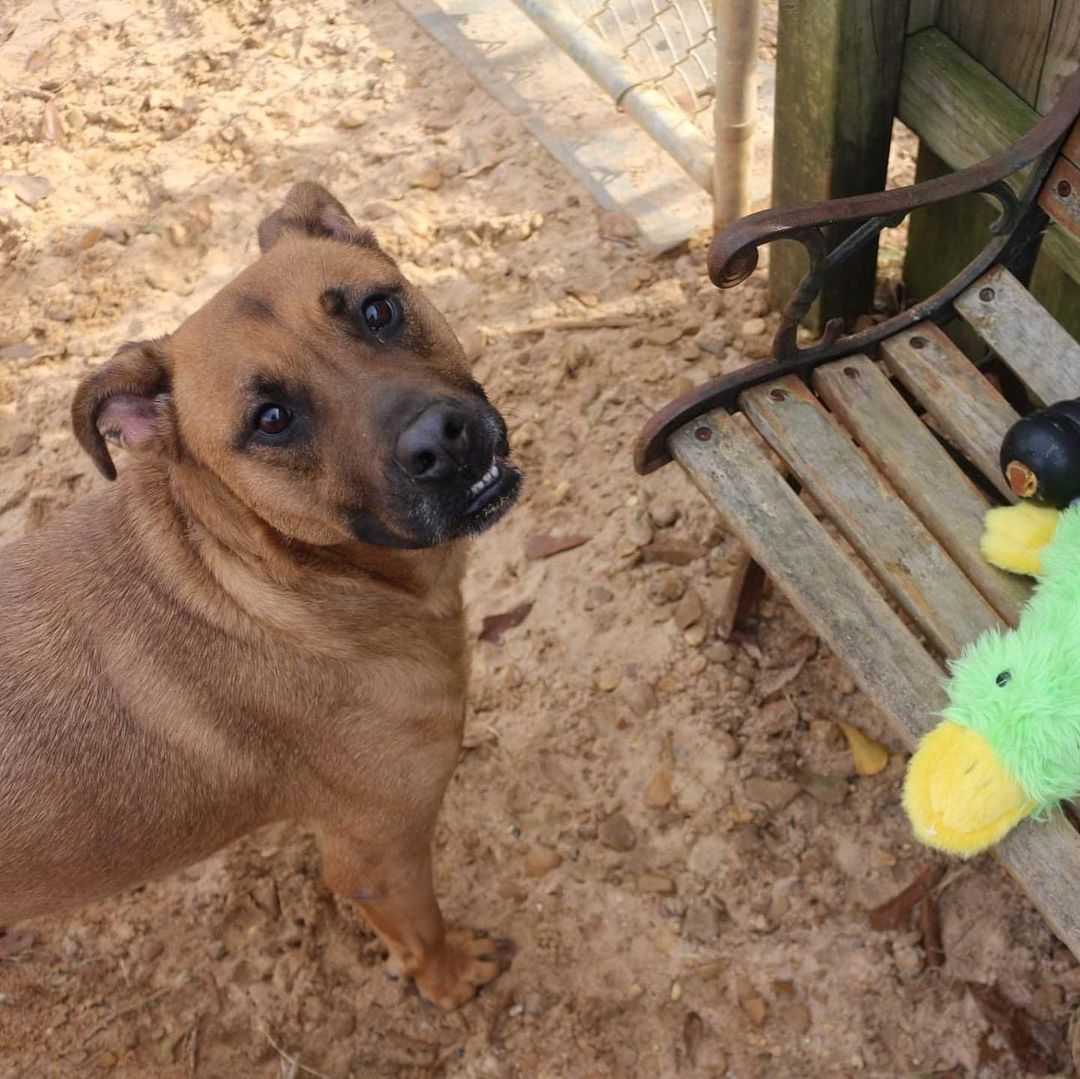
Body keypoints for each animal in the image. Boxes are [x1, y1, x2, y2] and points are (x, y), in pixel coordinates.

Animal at [0, 183, 522, 1002]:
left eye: (378, 310)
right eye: (270, 420)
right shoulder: (379, 855)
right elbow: (423, 934)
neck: (257, 578)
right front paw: (452, 978)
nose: (444, 439)